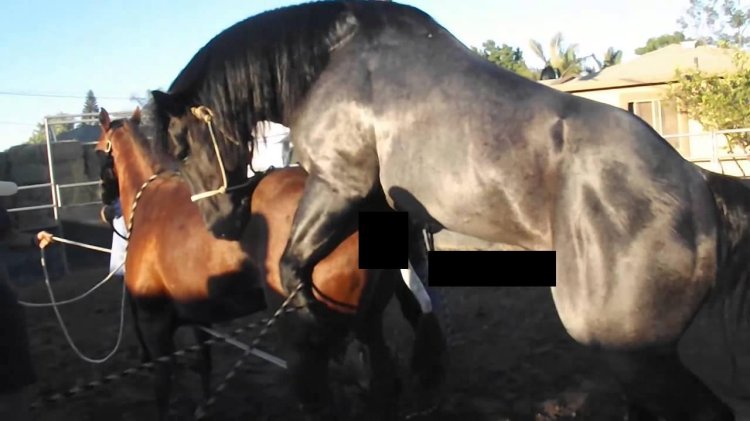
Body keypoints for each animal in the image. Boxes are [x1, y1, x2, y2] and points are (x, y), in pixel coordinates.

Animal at [96, 107, 446, 421]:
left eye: (98, 151)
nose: (104, 203)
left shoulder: (155, 325)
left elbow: (163, 386)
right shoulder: (197, 317)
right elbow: (204, 364)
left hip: (311, 343)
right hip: (367, 323)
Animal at [140, 1, 750, 419]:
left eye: (182, 147)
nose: (220, 225)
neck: (336, 61)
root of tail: (699, 187)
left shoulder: (340, 186)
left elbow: (294, 270)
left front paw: (325, 335)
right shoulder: (394, 216)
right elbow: (414, 304)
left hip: (634, 353)